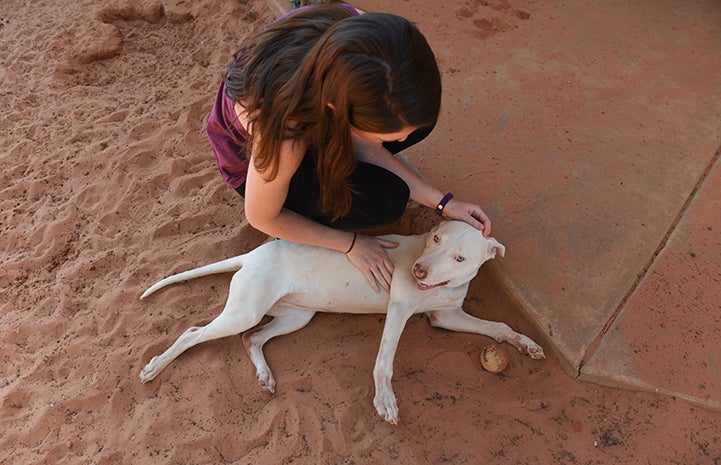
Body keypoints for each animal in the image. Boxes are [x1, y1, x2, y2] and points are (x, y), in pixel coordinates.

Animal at [141, 221, 544, 424]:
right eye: (435, 238)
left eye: (460, 257)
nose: (418, 271)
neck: (440, 286)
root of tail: (252, 255)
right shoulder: (399, 308)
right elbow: (384, 363)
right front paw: (384, 401)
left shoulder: (447, 315)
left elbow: (499, 328)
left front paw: (526, 343)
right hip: (245, 311)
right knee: (193, 333)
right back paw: (155, 366)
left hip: (296, 316)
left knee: (253, 339)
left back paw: (265, 375)